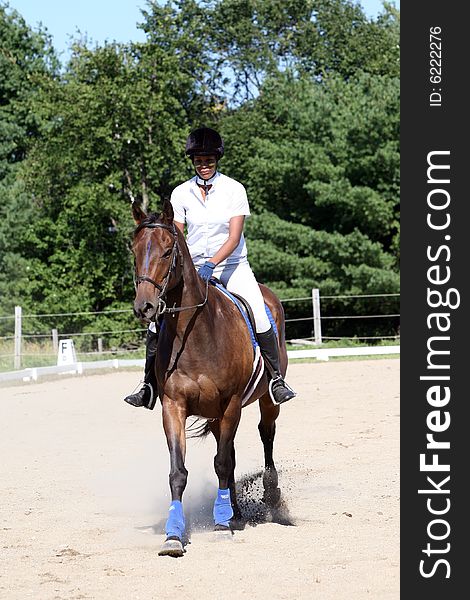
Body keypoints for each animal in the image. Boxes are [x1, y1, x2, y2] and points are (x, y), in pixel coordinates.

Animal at [130, 202, 288, 556]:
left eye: (167, 251)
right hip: (216, 415)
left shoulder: (231, 404)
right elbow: (179, 471)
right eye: (134, 250)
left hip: (264, 400)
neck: (196, 333)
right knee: (228, 451)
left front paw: (220, 525)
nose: (145, 307)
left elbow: (222, 464)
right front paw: (174, 535)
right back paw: (235, 510)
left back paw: (270, 497)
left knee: (266, 434)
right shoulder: (173, 406)